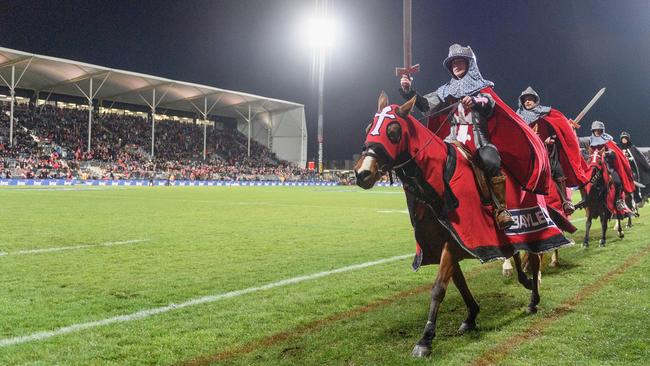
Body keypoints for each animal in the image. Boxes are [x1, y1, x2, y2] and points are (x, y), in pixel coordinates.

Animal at [354, 93, 552, 358]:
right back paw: (523, 279)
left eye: (393, 130)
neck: (438, 181)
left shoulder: (453, 242)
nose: (363, 173)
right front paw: (471, 316)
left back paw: (533, 299)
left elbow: (439, 288)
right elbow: (459, 283)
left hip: (533, 226)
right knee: (516, 253)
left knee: (535, 256)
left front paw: (425, 340)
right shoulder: (447, 243)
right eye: (369, 128)